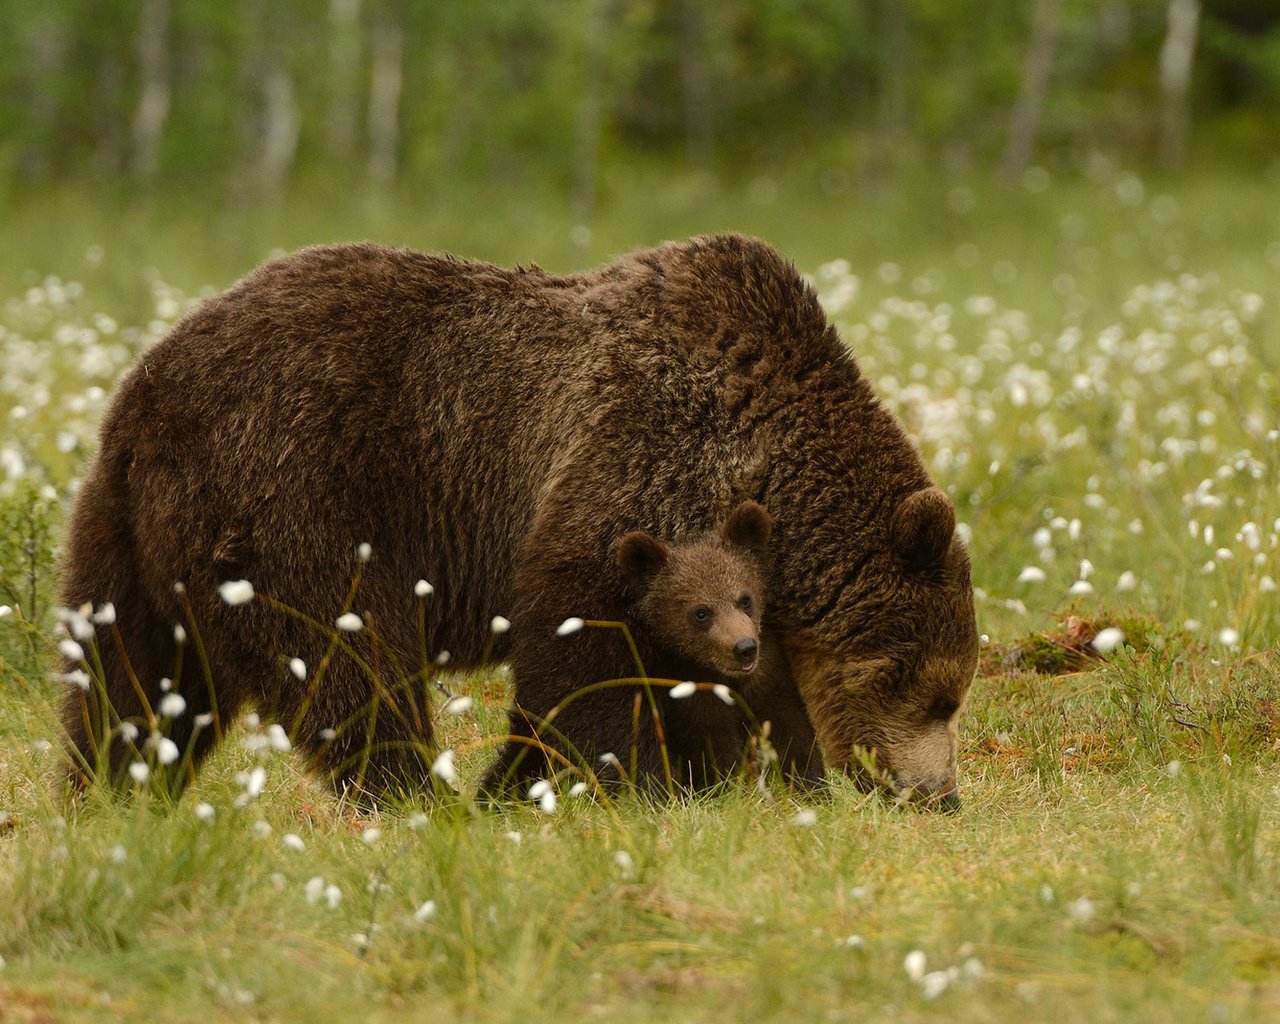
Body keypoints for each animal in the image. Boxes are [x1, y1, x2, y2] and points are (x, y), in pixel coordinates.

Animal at [57, 231, 977, 808]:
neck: (762, 452)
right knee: (347, 657)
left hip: (126, 533)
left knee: (130, 677)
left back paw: (108, 789)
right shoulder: (634, 461)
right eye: (935, 692)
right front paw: (588, 783)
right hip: (295, 490)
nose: (938, 796)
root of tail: (147, 386)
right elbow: (583, 654)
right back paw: (418, 795)